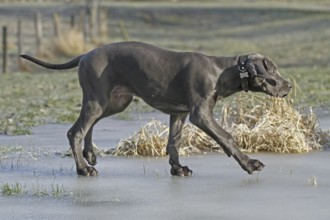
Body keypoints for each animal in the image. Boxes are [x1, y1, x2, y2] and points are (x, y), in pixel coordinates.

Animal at [20, 41, 292, 177]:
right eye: (273, 70)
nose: (289, 85)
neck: (222, 71)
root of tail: (85, 54)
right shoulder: (200, 114)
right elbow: (227, 137)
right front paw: (250, 164)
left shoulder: (179, 113)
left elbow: (174, 143)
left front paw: (177, 168)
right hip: (98, 99)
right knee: (75, 131)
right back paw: (83, 168)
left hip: (114, 101)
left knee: (89, 125)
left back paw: (89, 155)